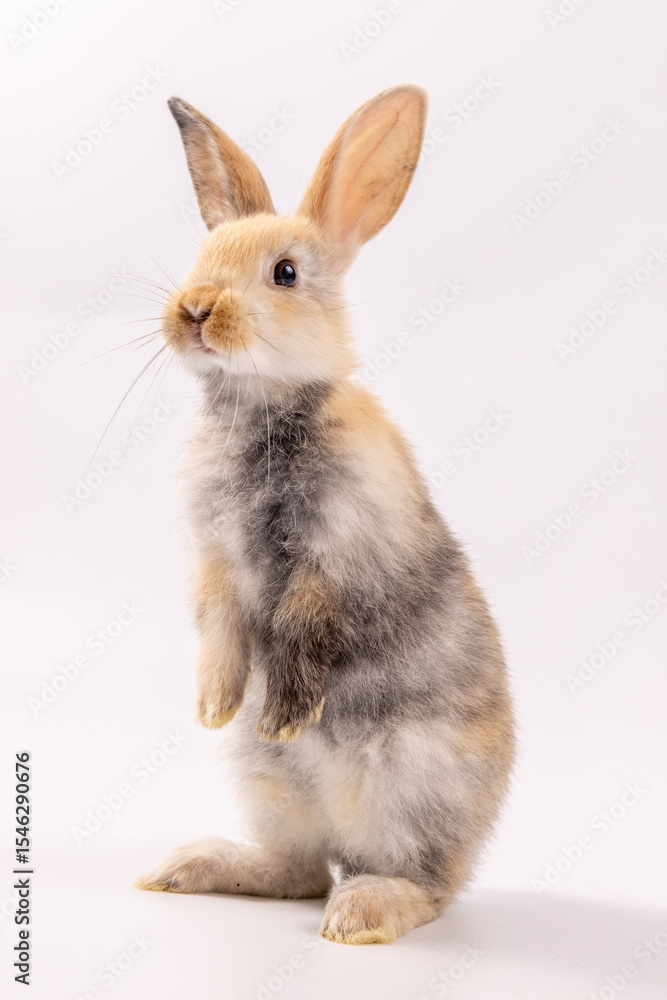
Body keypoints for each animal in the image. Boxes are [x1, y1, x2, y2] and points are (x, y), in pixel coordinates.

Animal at [135, 84, 515, 945]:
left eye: (284, 273)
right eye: (202, 257)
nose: (196, 308)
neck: (262, 404)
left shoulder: (336, 556)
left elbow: (307, 629)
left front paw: (282, 713)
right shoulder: (214, 562)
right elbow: (220, 627)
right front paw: (214, 706)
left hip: (409, 789)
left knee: (420, 886)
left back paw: (362, 914)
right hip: (268, 788)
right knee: (300, 871)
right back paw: (193, 865)